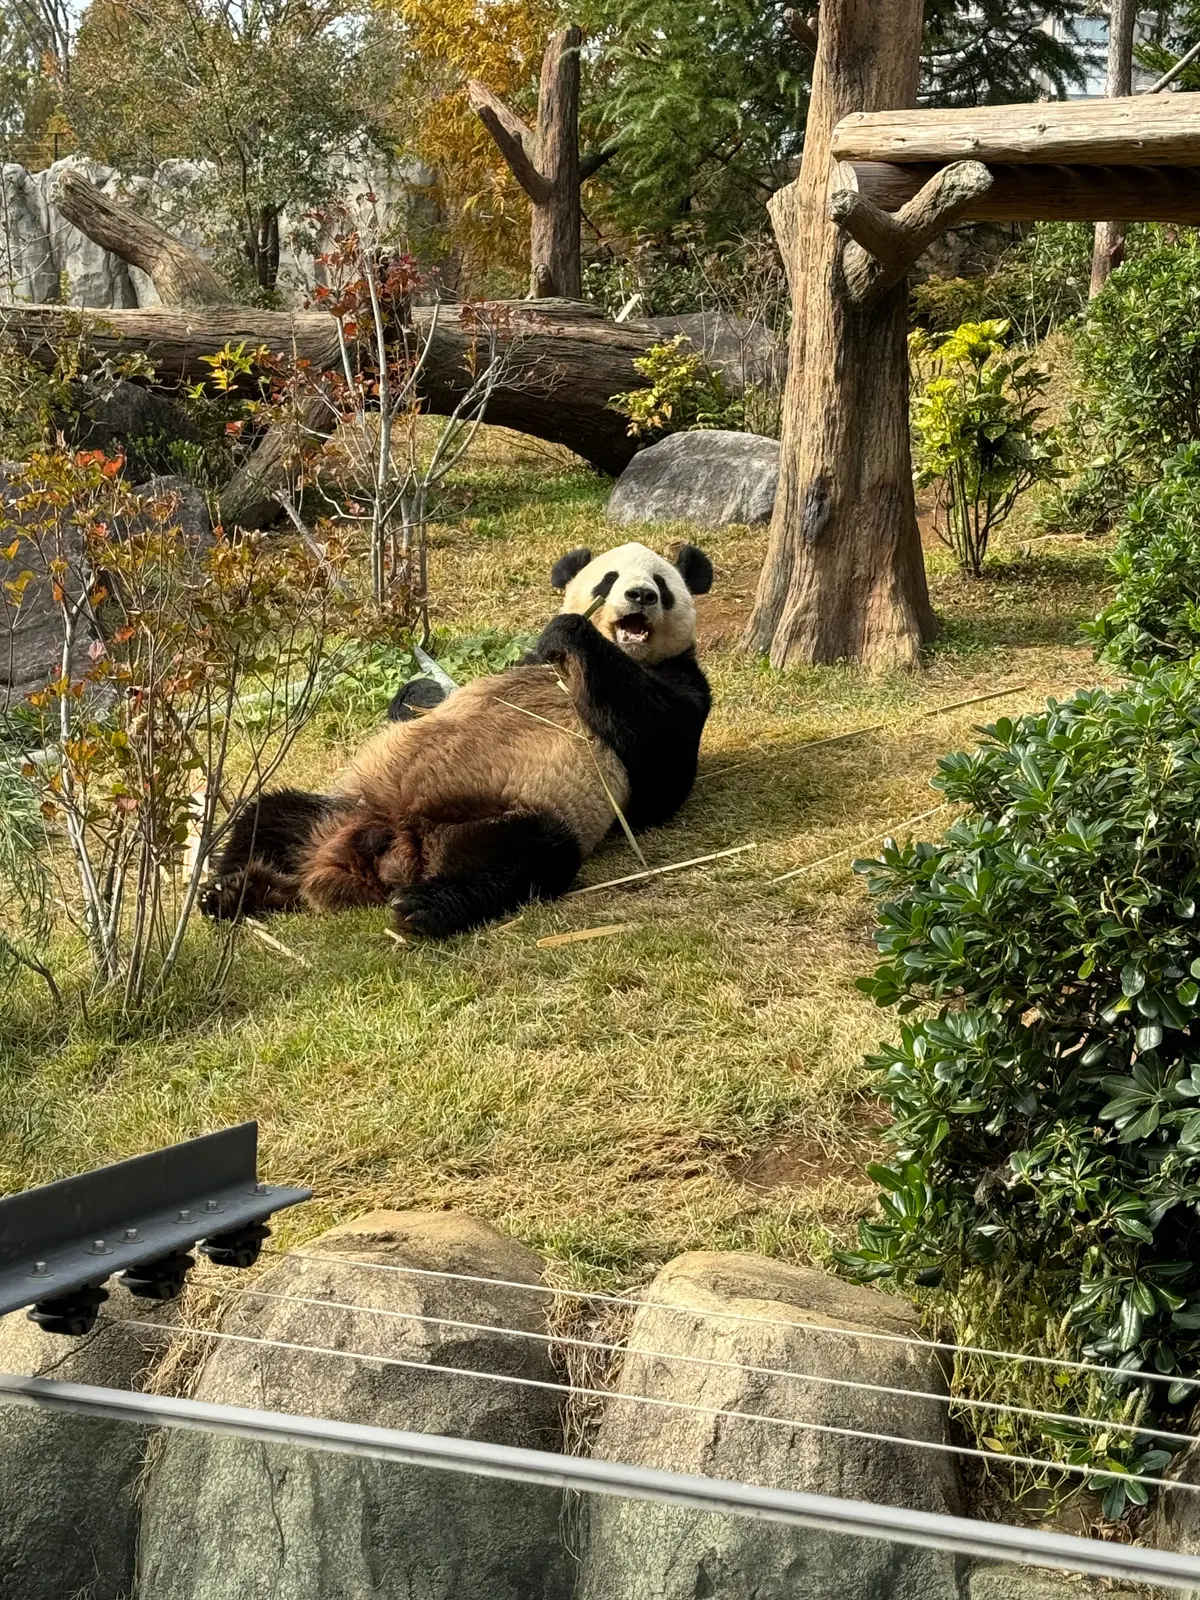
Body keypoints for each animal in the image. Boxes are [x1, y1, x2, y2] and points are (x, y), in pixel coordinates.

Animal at [200, 540, 713, 934]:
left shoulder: (678, 682)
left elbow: (662, 767)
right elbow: (428, 698)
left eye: (662, 584)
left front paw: (571, 630)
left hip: (512, 817)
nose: (640, 595)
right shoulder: (523, 662)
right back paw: (232, 891)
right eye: (608, 579)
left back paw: (424, 907)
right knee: (269, 815)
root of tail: (390, 850)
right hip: (342, 808)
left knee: (529, 856)